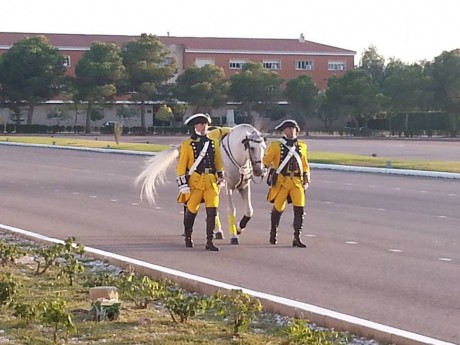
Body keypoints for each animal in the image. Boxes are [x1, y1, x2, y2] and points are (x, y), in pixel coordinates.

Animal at [135, 123, 266, 245]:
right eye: (252, 148)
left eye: (264, 148)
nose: (259, 171)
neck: (236, 156)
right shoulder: (228, 187)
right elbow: (231, 210)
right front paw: (234, 236)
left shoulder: (244, 186)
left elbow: (249, 211)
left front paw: (239, 228)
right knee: (188, 202)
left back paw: (217, 231)